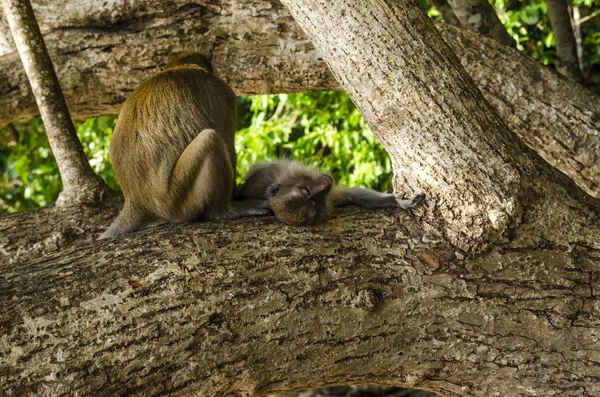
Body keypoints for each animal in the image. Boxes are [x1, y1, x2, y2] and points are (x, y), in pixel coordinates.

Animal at [99, 52, 268, 238]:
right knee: (211, 140)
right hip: (178, 200)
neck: (182, 66)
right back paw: (223, 210)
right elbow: (229, 147)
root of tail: (135, 200)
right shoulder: (224, 93)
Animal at [237, 159, 424, 226]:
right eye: (312, 203)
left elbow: (351, 194)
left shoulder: (263, 177)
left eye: (304, 191)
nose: (323, 186)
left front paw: (397, 201)